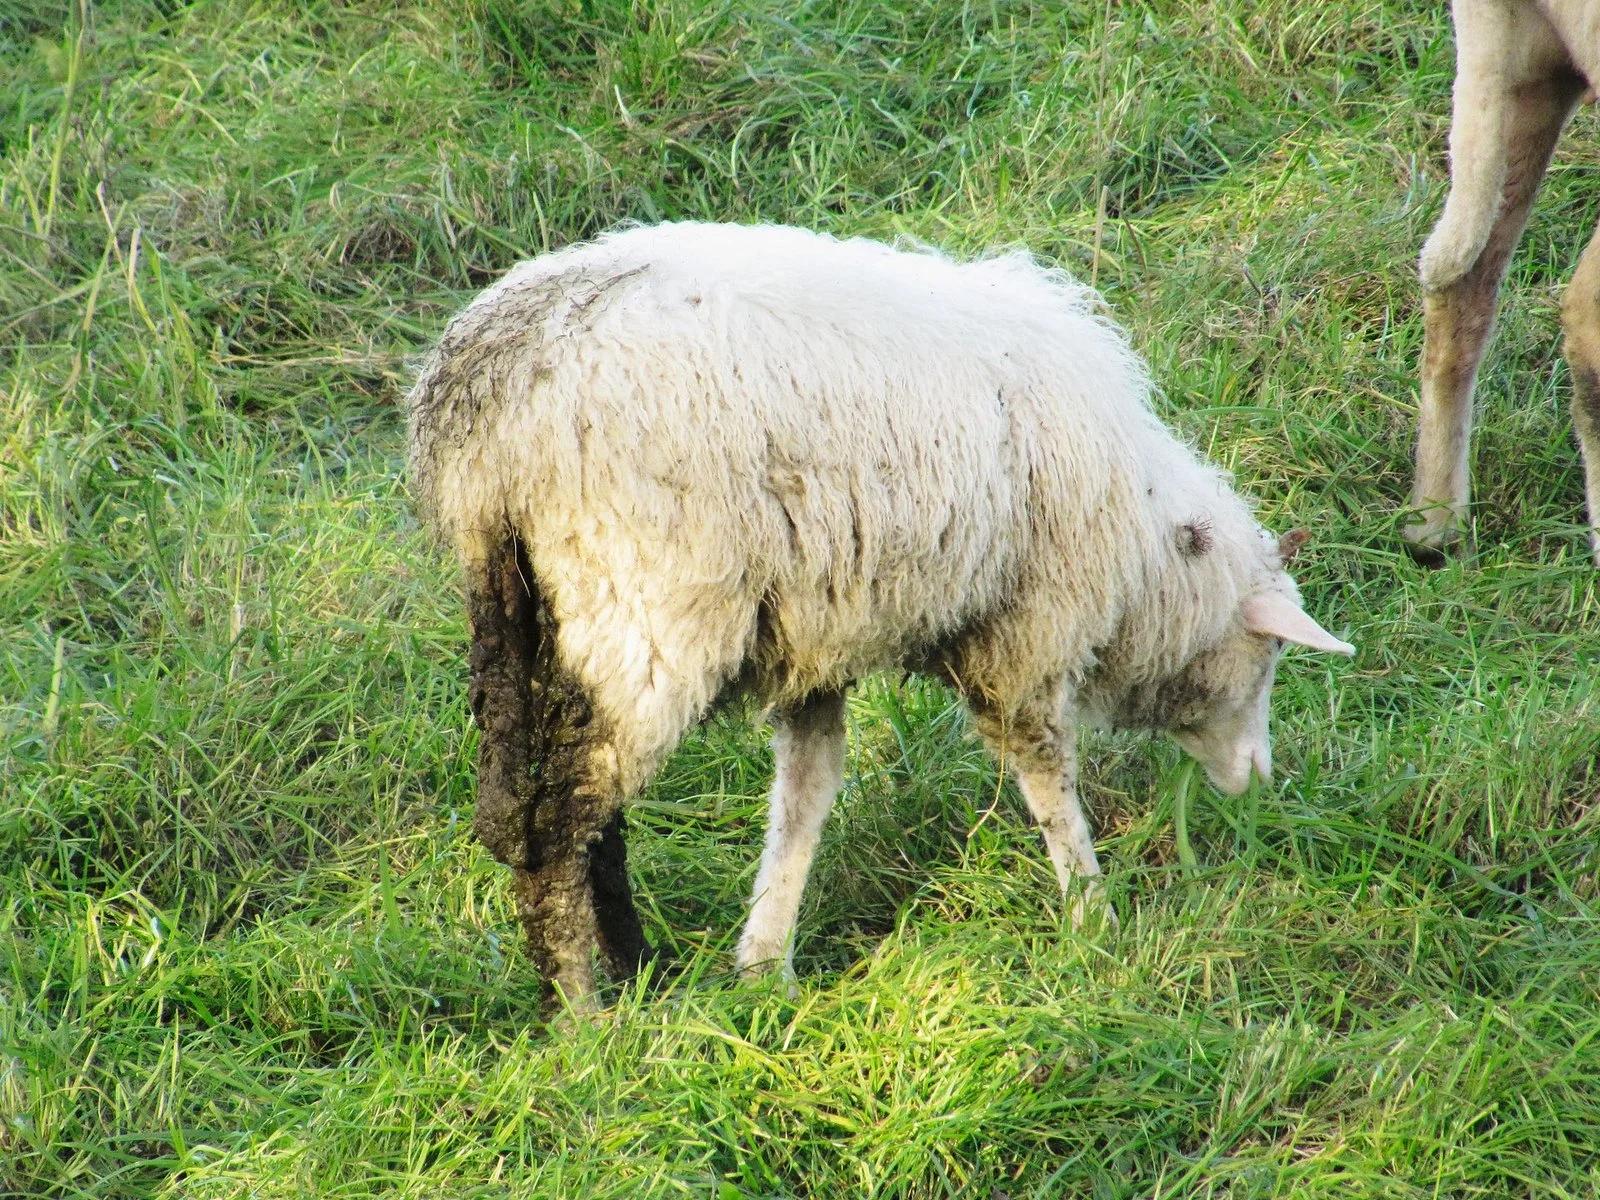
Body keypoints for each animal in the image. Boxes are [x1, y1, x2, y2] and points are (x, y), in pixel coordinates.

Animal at [407, 221, 1355, 1011]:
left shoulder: (809, 642)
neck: (1148, 554)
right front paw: (1094, 916)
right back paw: (584, 1012)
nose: (1259, 783)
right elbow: (1046, 776)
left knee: (550, 818)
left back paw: (639, 972)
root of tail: (481, 416)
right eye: (1269, 660)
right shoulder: (1025, 630)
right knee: (561, 821)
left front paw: (766, 965)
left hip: (521, 616)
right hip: (644, 607)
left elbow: (805, 798)